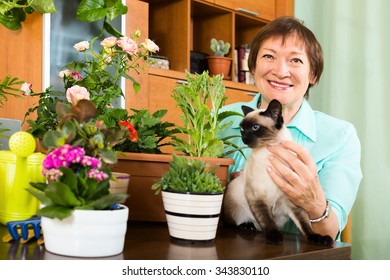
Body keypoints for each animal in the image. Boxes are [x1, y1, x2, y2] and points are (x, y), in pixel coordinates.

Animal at [224, 99, 334, 245]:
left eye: (255, 127)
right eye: (242, 128)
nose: (244, 138)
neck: (269, 149)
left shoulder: (292, 202)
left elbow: (305, 226)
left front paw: (318, 238)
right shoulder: (257, 196)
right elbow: (267, 220)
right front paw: (274, 237)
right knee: (231, 223)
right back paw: (247, 226)